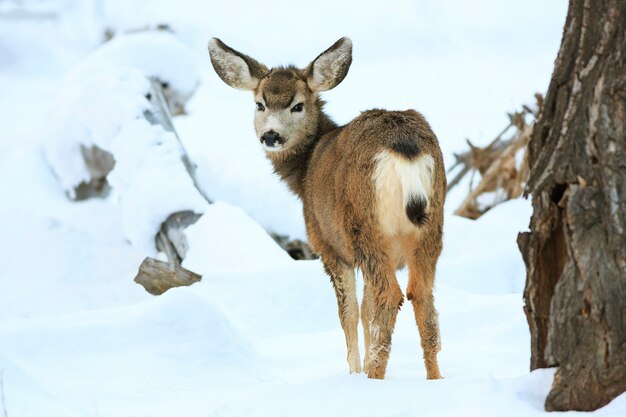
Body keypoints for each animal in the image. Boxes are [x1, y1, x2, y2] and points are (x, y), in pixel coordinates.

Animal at [208, 37, 444, 378]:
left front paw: (354, 371)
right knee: (422, 298)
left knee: (389, 297)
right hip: (432, 227)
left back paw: (374, 376)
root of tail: (403, 147)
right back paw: (435, 378)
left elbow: (350, 313)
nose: (271, 135)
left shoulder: (328, 246)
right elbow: (365, 310)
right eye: (260, 104)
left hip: (365, 228)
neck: (304, 171)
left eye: (297, 105)